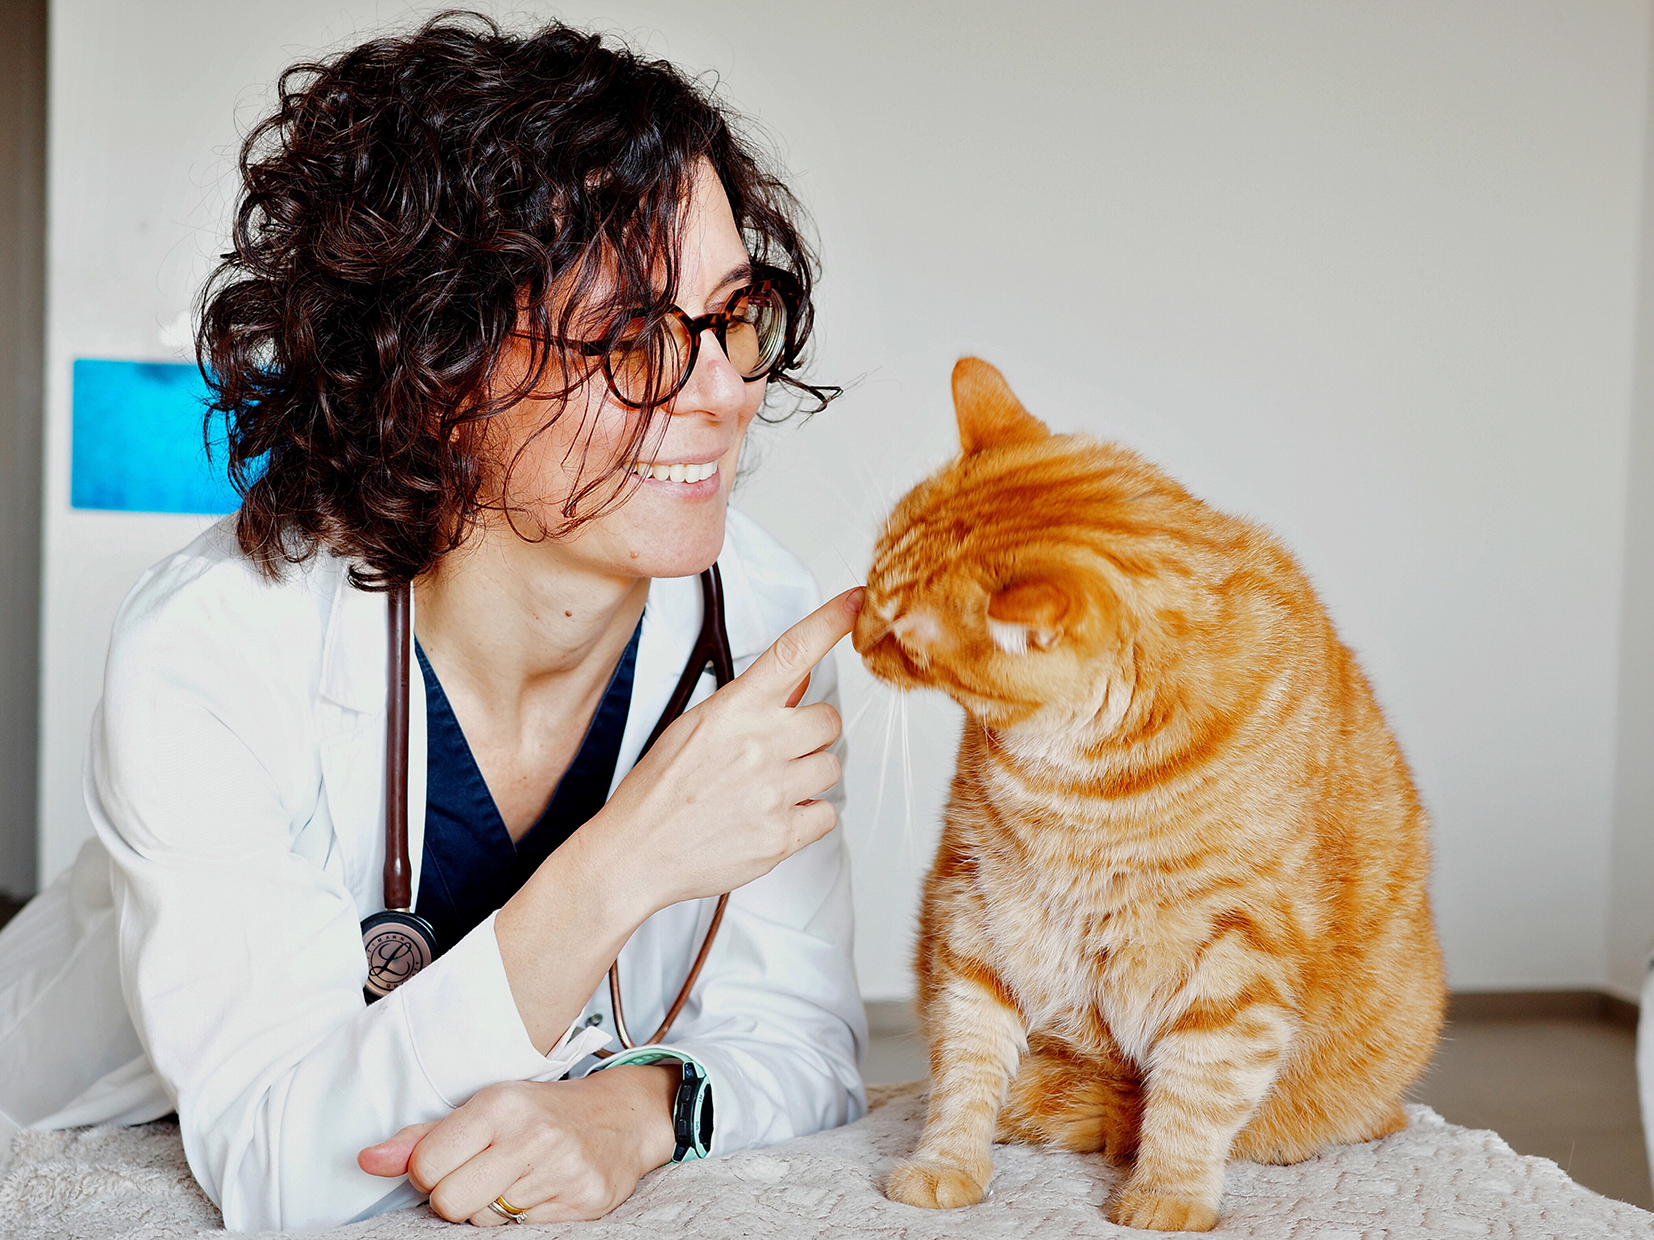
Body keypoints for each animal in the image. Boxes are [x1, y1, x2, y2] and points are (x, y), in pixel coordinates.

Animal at [853, 358, 1445, 1232]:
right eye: (869, 582)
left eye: (901, 634)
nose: (857, 633)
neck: (1084, 784)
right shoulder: (979, 910)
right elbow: (965, 1060)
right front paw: (945, 1165)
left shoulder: (1236, 951)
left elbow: (1198, 1089)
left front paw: (1167, 1195)